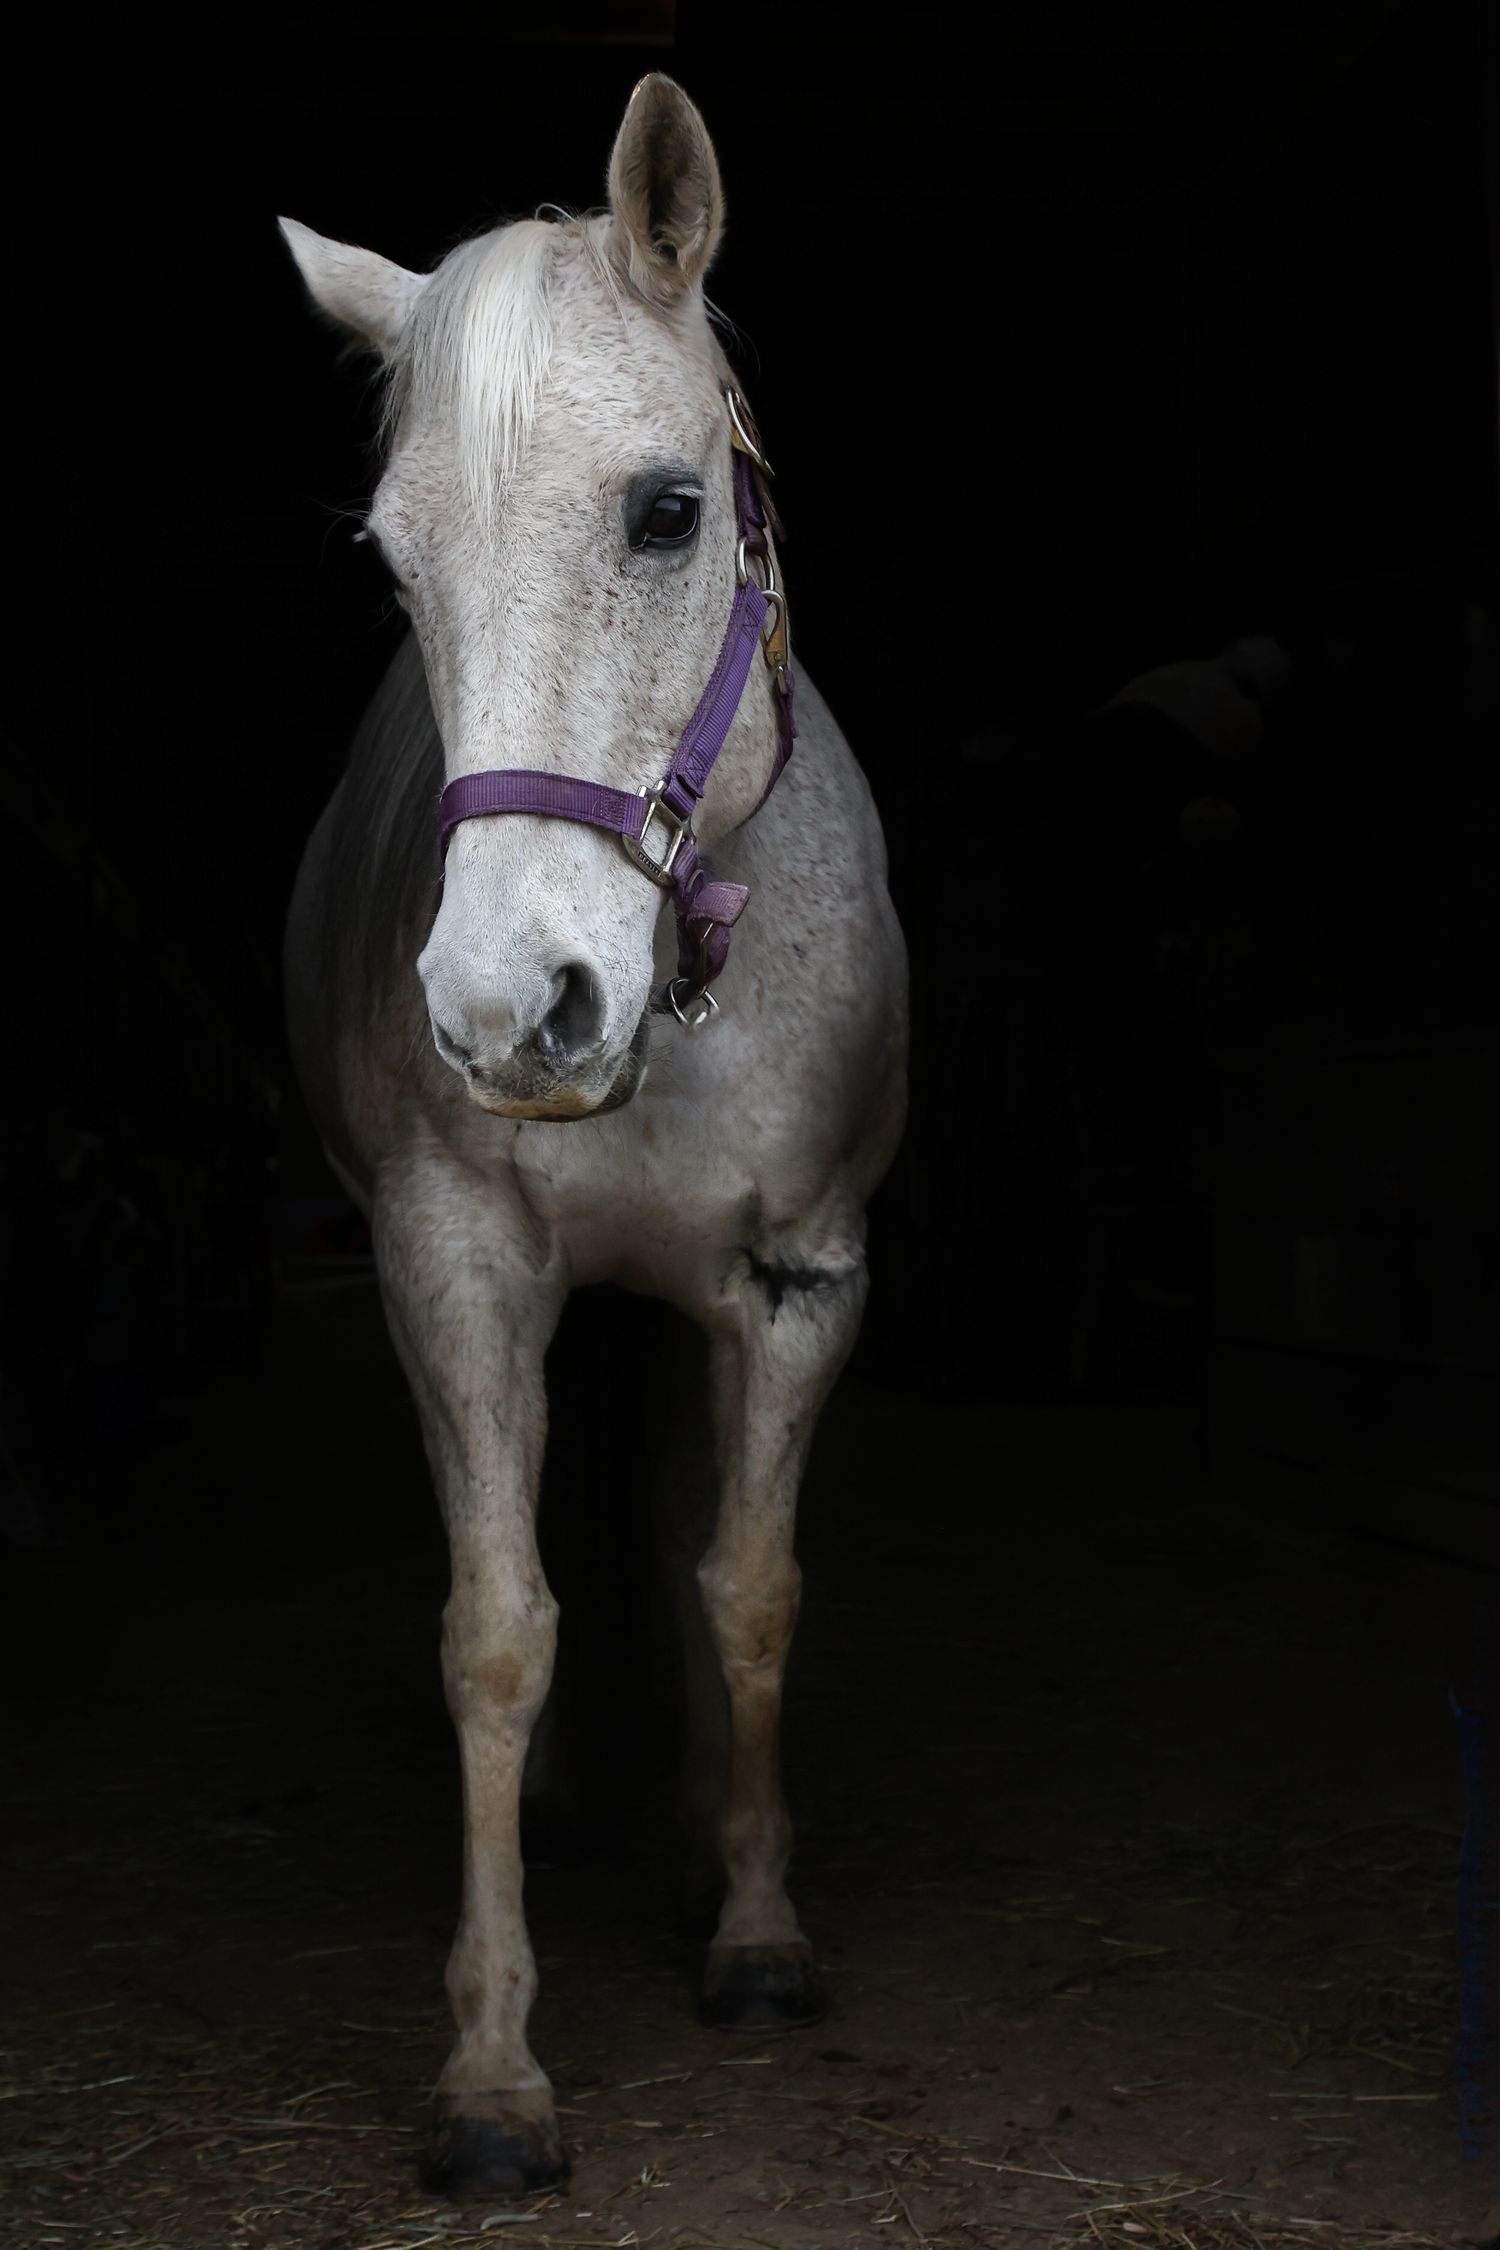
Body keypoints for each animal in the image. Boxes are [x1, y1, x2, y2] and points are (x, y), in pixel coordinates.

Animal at [280, 73, 908, 2196]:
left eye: (665, 510)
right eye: (398, 568)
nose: (508, 1008)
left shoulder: (800, 1283)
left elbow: (752, 1584)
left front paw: (763, 1927)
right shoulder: (453, 1271)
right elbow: (495, 1629)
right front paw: (490, 2071)